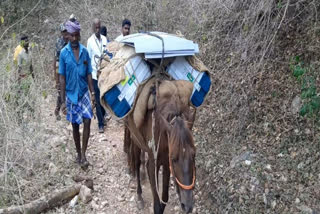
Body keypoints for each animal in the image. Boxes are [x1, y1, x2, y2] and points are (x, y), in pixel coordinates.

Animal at [124, 79, 195, 214]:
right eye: (174, 159)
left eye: (194, 155)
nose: (187, 206)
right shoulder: (154, 165)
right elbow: (157, 204)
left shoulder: (166, 164)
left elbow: (165, 197)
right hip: (135, 138)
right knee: (136, 161)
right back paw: (139, 195)